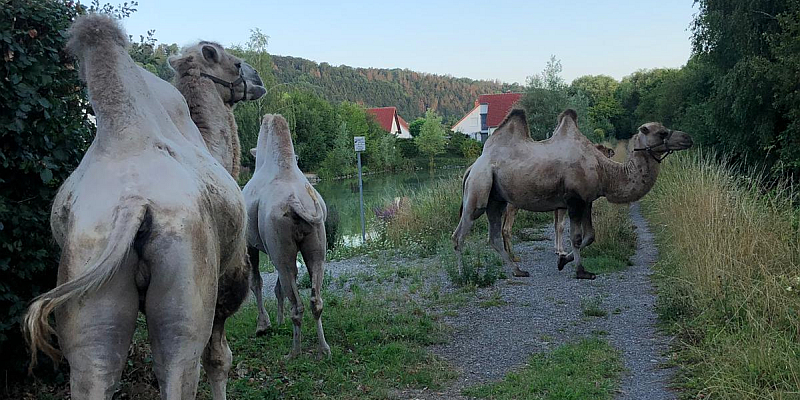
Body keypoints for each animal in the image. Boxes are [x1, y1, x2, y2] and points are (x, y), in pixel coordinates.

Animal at [244, 113, 332, 360]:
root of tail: (296, 203)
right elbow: (277, 287)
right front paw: (277, 320)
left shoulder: (250, 244)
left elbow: (256, 282)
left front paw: (263, 326)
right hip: (315, 242)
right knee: (315, 297)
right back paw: (324, 349)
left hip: (280, 249)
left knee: (297, 301)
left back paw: (294, 352)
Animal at [454, 108, 692, 280]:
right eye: (661, 133)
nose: (687, 138)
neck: (605, 171)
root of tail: (473, 166)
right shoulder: (574, 200)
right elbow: (576, 237)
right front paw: (581, 271)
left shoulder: (587, 200)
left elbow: (590, 236)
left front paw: (563, 261)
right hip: (478, 189)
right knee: (460, 233)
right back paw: (463, 275)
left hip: (496, 199)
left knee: (492, 235)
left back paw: (518, 271)